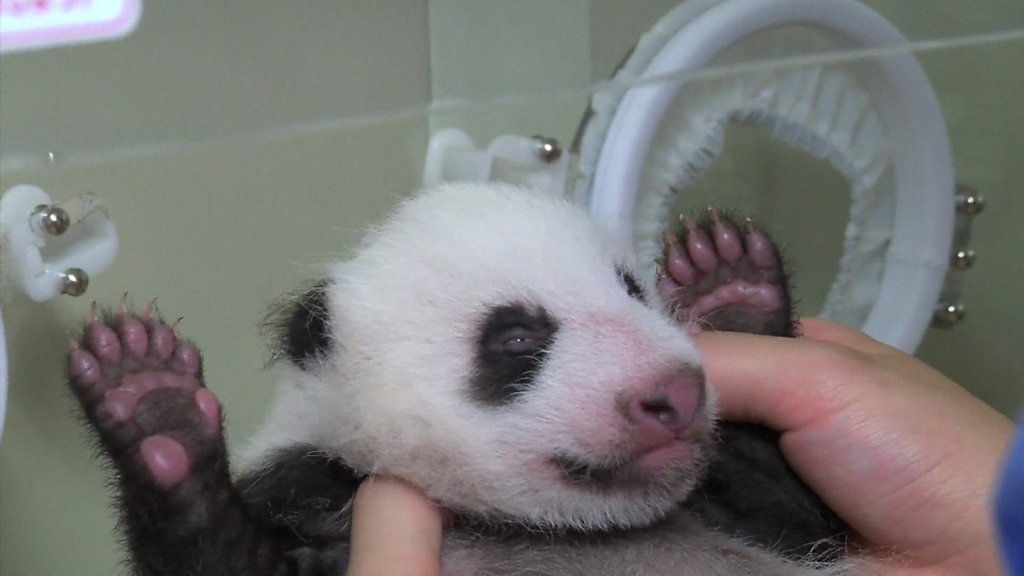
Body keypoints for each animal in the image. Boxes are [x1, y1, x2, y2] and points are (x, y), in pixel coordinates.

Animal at [66, 183, 847, 573]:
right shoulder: (311, 487)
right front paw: (155, 405)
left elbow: (805, 522)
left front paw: (732, 296)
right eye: (517, 336)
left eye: (632, 290)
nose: (674, 395)